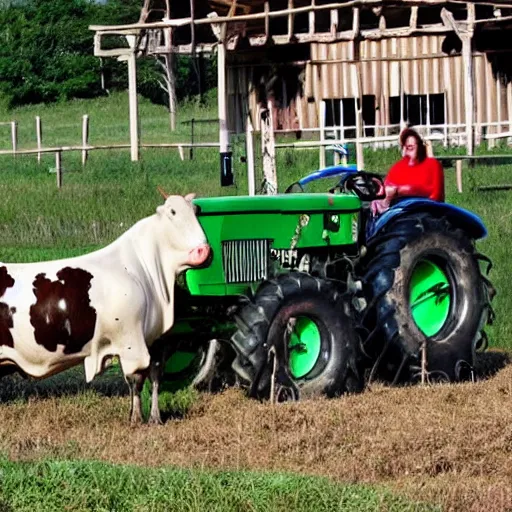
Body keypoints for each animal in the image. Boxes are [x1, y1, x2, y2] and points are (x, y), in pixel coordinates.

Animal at [0, 188, 210, 424]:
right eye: (173, 212)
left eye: (195, 210)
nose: (203, 250)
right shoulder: (130, 340)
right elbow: (136, 379)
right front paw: (136, 418)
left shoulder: (153, 341)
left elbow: (154, 378)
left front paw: (154, 418)